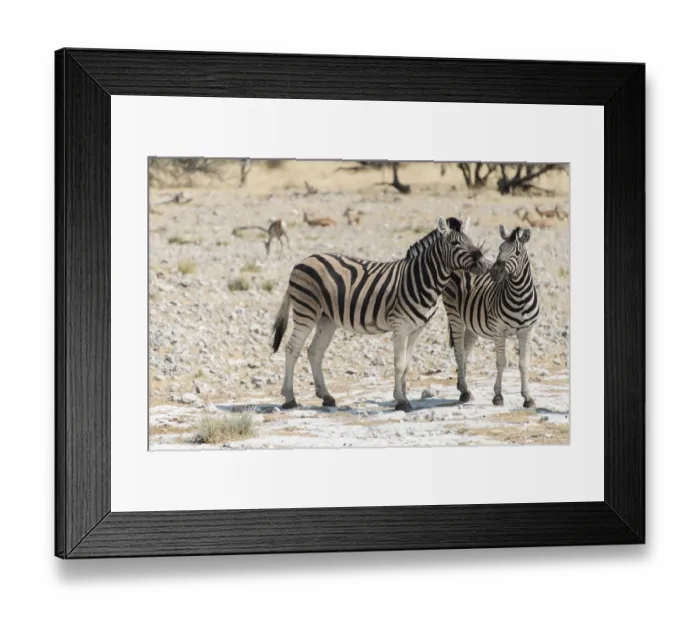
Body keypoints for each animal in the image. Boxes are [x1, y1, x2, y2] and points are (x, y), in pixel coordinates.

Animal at [270, 217, 489, 412]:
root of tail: (302, 261)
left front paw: (403, 396)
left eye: (470, 241)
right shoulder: (400, 326)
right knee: (292, 349)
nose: (483, 263)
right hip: (306, 311)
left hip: (327, 319)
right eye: (454, 243)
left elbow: (407, 365)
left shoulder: (416, 330)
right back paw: (289, 398)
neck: (421, 279)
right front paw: (401, 401)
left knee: (315, 351)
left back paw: (326, 396)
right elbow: (399, 364)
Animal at [443, 224, 540, 408]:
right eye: (500, 249)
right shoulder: (499, 331)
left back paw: (462, 385)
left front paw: (528, 398)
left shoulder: (527, 331)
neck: (519, 297)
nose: (494, 272)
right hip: (455, 316)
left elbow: (524, 364)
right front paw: (498, 396)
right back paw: (464, 391)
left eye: (517, 253)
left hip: (471, 324)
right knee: (459, 352)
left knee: (466, 350)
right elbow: (501, 362)